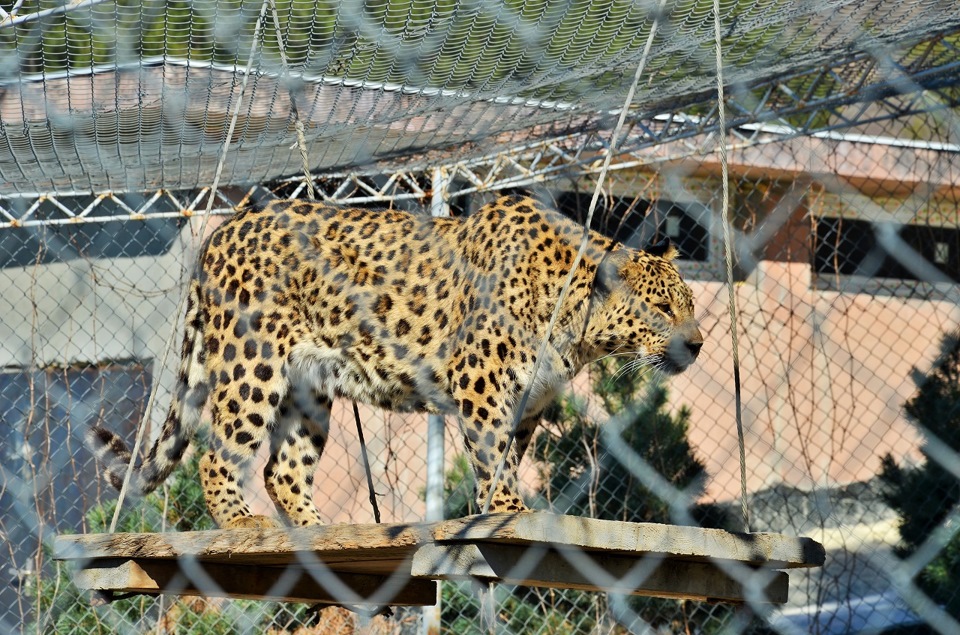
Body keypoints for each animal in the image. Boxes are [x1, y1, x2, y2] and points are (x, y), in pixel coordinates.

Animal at [90, 195, 700, 532]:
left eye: (690, 306)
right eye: (662, 309)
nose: (696, 344)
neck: (572, 320)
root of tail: (220, 230)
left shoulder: (527, 402)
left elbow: (505, 454)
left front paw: (499, 506)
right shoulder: (480, 381)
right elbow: (492, 455)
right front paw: (509, 509)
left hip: (308, 387)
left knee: (281, 469)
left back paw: (317, 531)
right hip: (252, 363)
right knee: (218, 455)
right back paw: (241, 520)